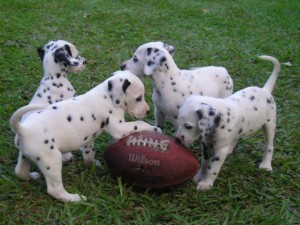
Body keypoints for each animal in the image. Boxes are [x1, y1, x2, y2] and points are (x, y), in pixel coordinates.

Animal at [10, 71, 161, 202]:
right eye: (138, 98)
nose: (148, 111)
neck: (106, 97)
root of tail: (23, 129)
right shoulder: (119, 127)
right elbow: (139, 123)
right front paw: (155, 128)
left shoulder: (89, 138)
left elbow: (89, 152)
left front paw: (91, 163)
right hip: (51, 160)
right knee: (54, 190)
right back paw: (74, 198)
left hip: (26, 155)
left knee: (20, 171)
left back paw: (31, 176)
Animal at [177, 55, 280, 190]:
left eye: (188, 126)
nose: (177, 139)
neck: (221, 120)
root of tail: (265, 90)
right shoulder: (206, 145)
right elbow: (204, 164)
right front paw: (199, 177)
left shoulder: (220, 151)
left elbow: (212, 169)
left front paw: (206, 184)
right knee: (236, 137)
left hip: (269, 124)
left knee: (269, 146)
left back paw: (266, 165)